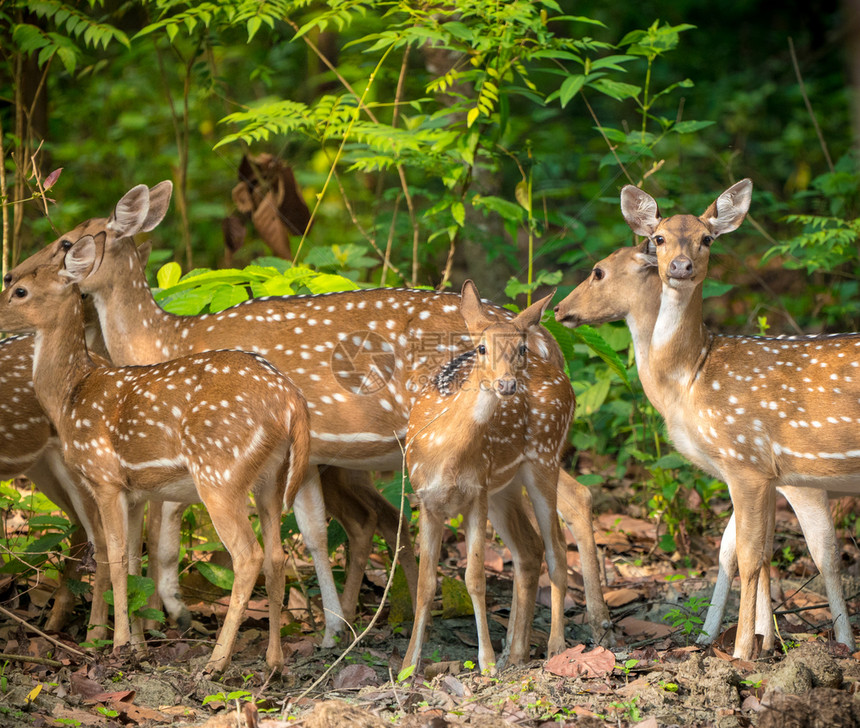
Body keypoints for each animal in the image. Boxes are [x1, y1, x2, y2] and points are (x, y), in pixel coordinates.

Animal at [1, 233, 310, 672]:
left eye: (20, 291)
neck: (70, 397)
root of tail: (292, 402)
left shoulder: (105, 477)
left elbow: (113, 558)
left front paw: (116, 646)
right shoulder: (136, 491)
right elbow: (134, 561)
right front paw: (139, 647)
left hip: (219, 472)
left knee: (248, 556)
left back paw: (216, 663)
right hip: (271, 477)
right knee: (277, 557)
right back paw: (274, 664)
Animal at [404, 282, 576, 672]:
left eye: (521, 347)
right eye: (482, 348)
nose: (507, 384)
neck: (446, 455)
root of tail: (560, 375)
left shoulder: (476, 494)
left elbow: (475, 578)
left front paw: (486, 663)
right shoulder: (426, 499)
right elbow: (424, 584)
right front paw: (407, 666)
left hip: (544, 457)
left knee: (557, 549)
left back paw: (555, 647)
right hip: (505, 487)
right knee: (529, 549)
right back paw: (517, 651)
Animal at [556, 243, 848, 648]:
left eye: (598, 271)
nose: (558, 308)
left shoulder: (768, 469)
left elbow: (807, 554)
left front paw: (746, 646)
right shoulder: (763, 474)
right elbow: (741, 549)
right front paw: (726, 639)